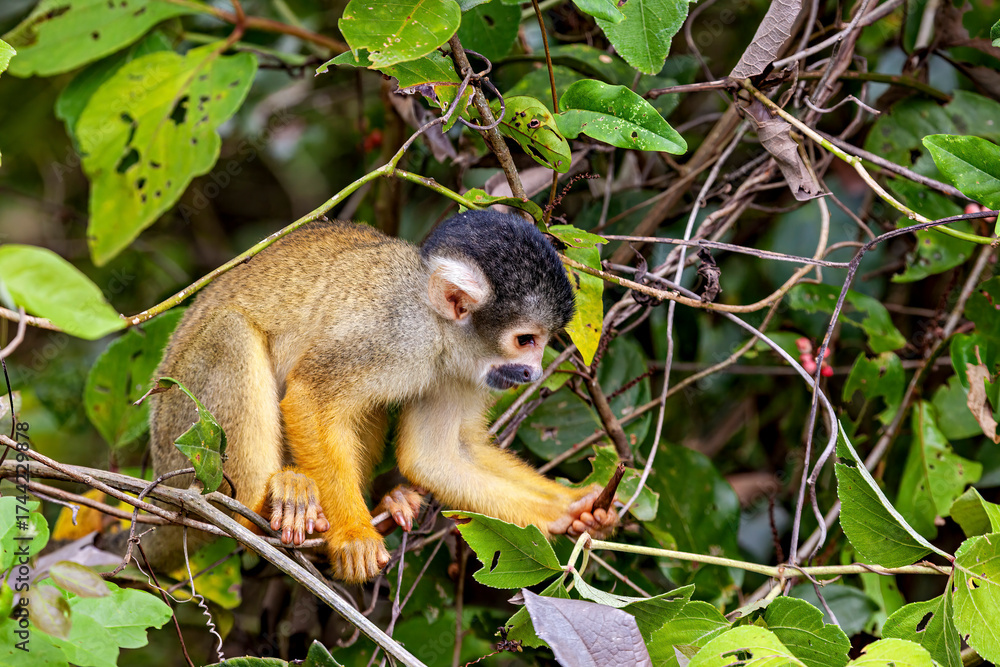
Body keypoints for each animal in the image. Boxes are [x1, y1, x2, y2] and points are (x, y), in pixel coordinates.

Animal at [146, 209, 618, 582]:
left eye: (543, 342)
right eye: (525, 340)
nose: (533, 372)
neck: (439, 329)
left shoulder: (462, 372)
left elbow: (435, 456)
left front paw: (573, 508)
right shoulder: (395, 335)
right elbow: (310, 397)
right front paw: (354, 537)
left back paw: (387, 504)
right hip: (181, 427)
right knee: (231, 333)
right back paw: (264, 508)